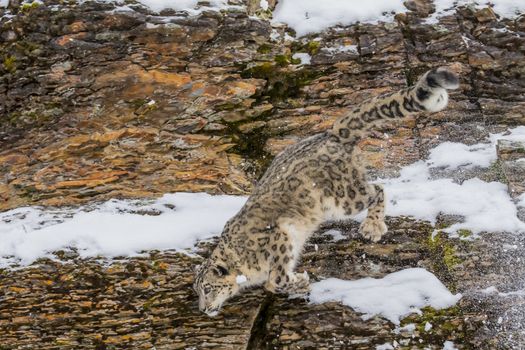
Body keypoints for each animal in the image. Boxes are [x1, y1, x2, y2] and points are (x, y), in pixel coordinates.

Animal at [193, 67, 458, 316]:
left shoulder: (279, 235)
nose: (203, 309)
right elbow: (272, 282)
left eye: (208, 288)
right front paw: (297, 284)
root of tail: (332, 134)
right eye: (198, 291)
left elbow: (276, 279)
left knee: (377, 189)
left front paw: (299, 281)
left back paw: (372, 227)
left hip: (344, 198)